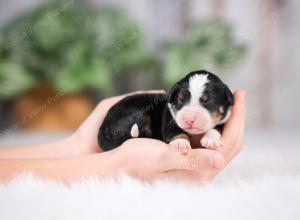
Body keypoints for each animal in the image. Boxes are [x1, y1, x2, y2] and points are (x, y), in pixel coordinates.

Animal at [98, 70, 234, 153]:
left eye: (208, 101)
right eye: (180, 99)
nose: (189, 119)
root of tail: (103, 125)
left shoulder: (222, 120)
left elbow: (215, 128)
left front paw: (211, 140)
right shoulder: (170, 119)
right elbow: (174, 131)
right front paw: (180, 143)